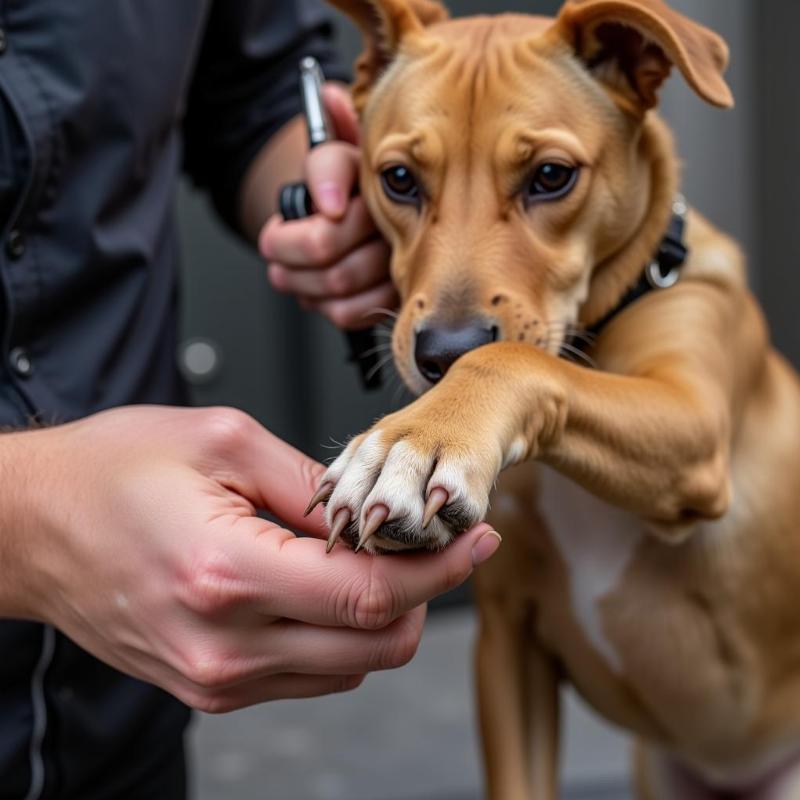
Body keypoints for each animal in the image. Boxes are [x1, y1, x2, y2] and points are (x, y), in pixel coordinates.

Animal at [310, 3, 800, 796]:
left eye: (550, 176)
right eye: (399, 179)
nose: (441, 353)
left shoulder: (693, 424)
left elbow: (514, 358)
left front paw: (410, 443)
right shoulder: (508, 641)